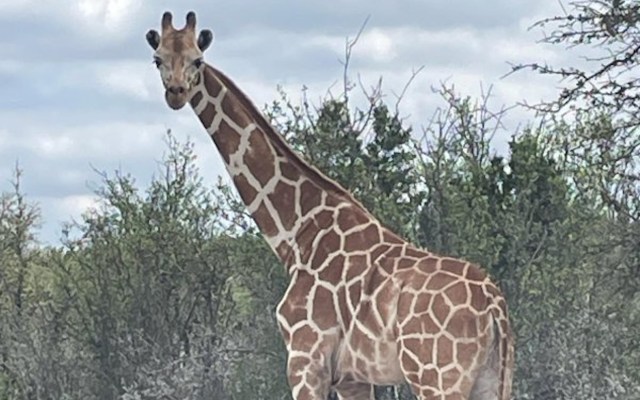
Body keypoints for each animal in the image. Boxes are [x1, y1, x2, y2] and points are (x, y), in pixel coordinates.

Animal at [145, 11, 514, 400]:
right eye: (158, 59)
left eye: (197, 60)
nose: (176, 93)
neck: (297, 233)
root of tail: (495, 306)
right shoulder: (353, 377)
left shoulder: (305, 359)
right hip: (491, 378)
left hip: (437, 375)